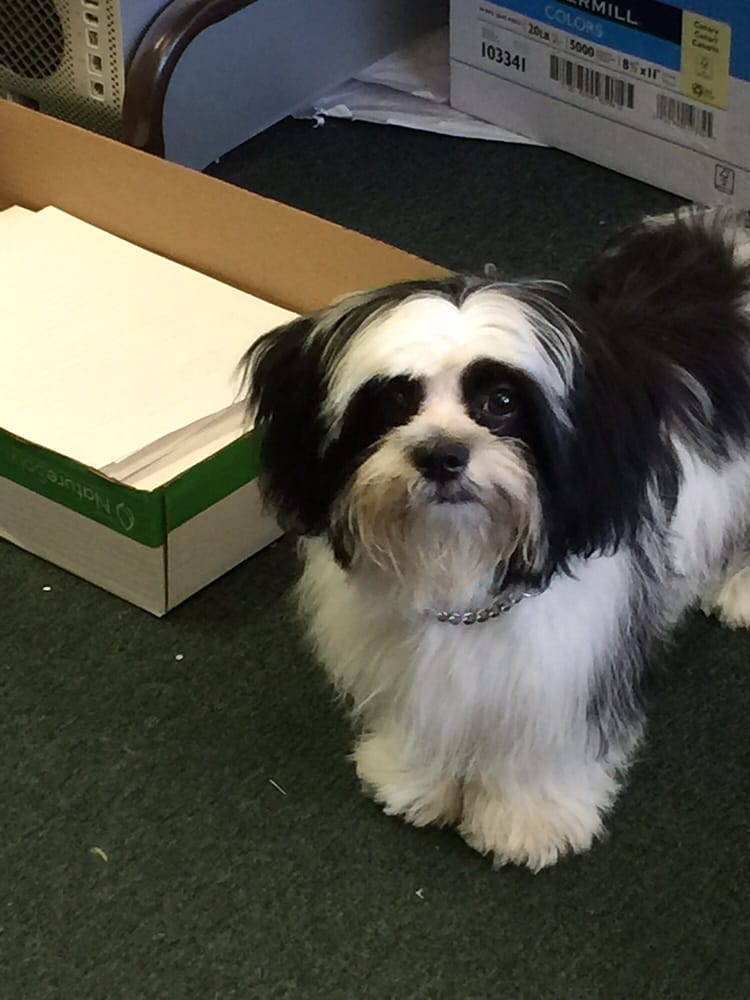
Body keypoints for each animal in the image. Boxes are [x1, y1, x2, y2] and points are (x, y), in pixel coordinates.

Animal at [241, 206, 750, 870]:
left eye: (501, 402)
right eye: (396, 401)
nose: (442, 455)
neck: (466, 562)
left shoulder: (570, 662)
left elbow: (543, 744)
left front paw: (529, 819)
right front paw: (414, 777)